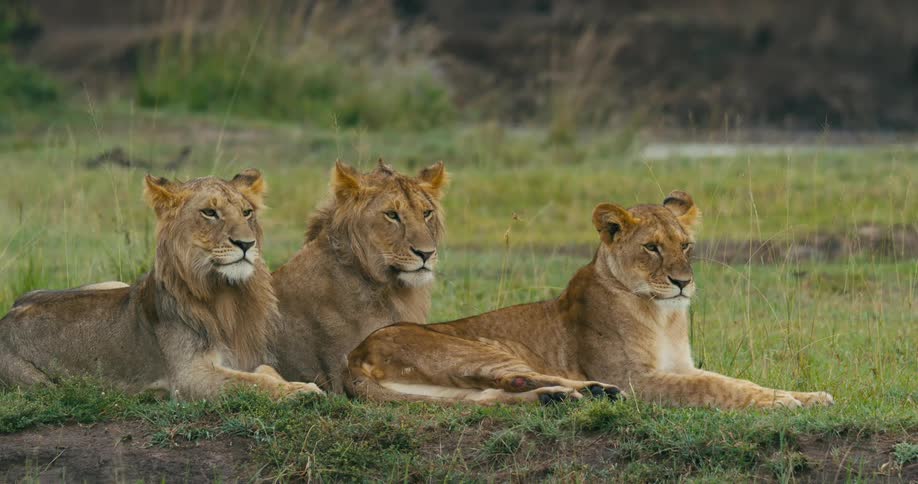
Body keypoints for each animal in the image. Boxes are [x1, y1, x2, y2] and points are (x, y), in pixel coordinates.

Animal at [0, 170, 323, 400]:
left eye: (247, 213)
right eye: (210, 212)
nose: (247, 243)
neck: (227, 296)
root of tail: (7, 316)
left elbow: (263, 370)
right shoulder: (188, 377)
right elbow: (251, 382)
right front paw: (302, 390)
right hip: (38, 384)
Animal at [347, 192, 834, 408]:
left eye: (686, 246)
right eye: (652, 248)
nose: (682, 283)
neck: (663, 315)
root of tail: (354, 355)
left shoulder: (680, 365)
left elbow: (739, 382)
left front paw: (807, 397)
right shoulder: (638, 378)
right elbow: (712, 388)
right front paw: (783, 405)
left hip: (448, 388)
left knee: (491, 396)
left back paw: (568, 397)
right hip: (478, 350)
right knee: (510, 379)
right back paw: (589, 392)